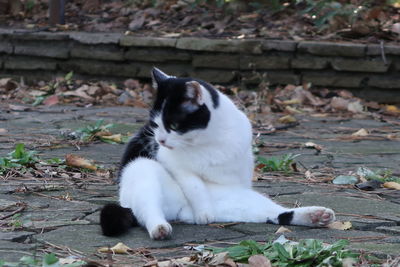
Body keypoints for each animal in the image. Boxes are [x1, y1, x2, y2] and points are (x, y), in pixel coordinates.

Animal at [100, 67, 334, 241]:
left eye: (173, 125)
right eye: (156, 125)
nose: (161, 140)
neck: (206, 141)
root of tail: (181, 213)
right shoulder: (171, 162)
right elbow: (193, 183)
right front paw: (203, 211)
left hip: (242, 199)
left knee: (276, 215)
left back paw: (315, 216)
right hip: (141, 170)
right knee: (148, 210)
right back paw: (161, 227)